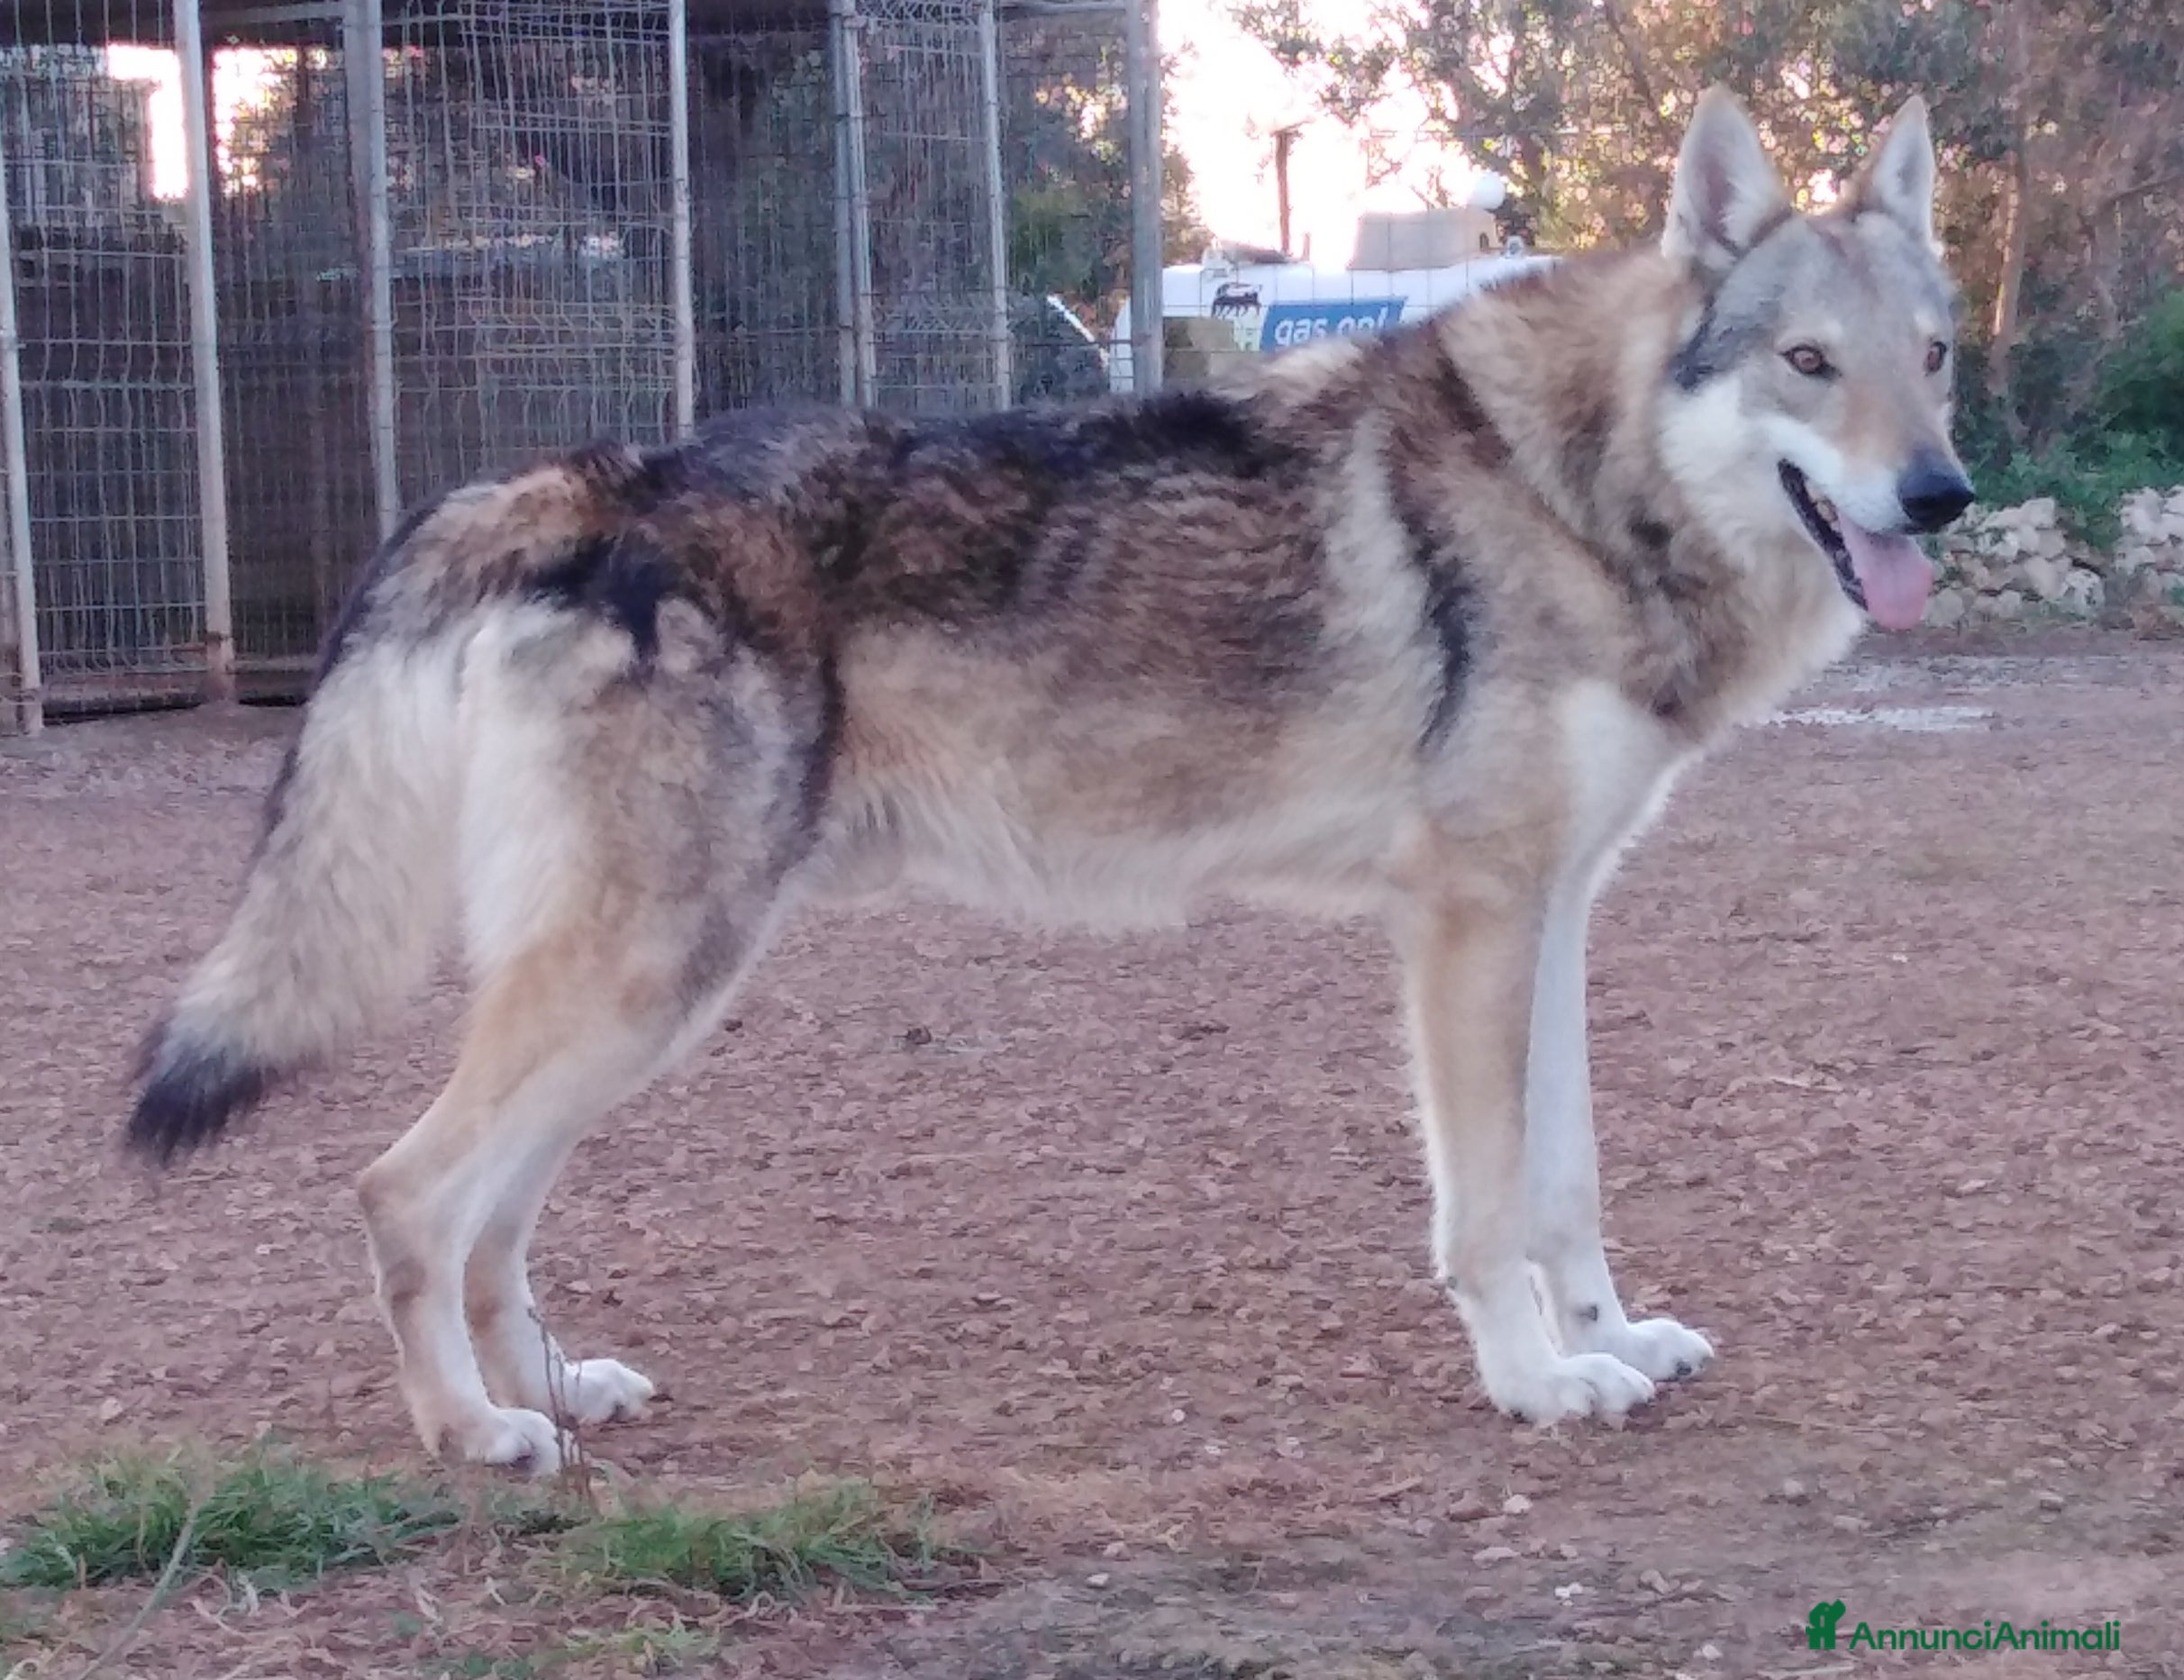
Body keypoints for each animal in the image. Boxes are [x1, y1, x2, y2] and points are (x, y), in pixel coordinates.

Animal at [128, 89, 1972, 1470]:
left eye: (1934, 355)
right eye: (1807, 364)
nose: (1942, 495)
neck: (1577, 486)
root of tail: (585, 478)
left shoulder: (1557, 913)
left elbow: (1568, 1185)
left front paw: (1615, 1339)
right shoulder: (1466, 926)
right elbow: (1488, 1210)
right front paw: (1534, 1384)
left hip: (649, 1005)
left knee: (491, 1221)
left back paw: (550, 1391)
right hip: (642, 981)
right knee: (402, 1191)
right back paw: (472, 1436)